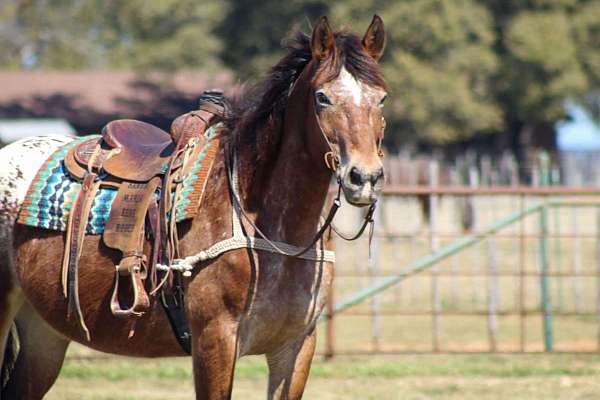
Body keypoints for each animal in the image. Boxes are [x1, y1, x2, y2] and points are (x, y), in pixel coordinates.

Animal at [0, 15, 390, 400]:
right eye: (322, 97)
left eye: (382, 98)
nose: (364, 177)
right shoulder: (214, 341)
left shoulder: (296, 347)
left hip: (44, 333)